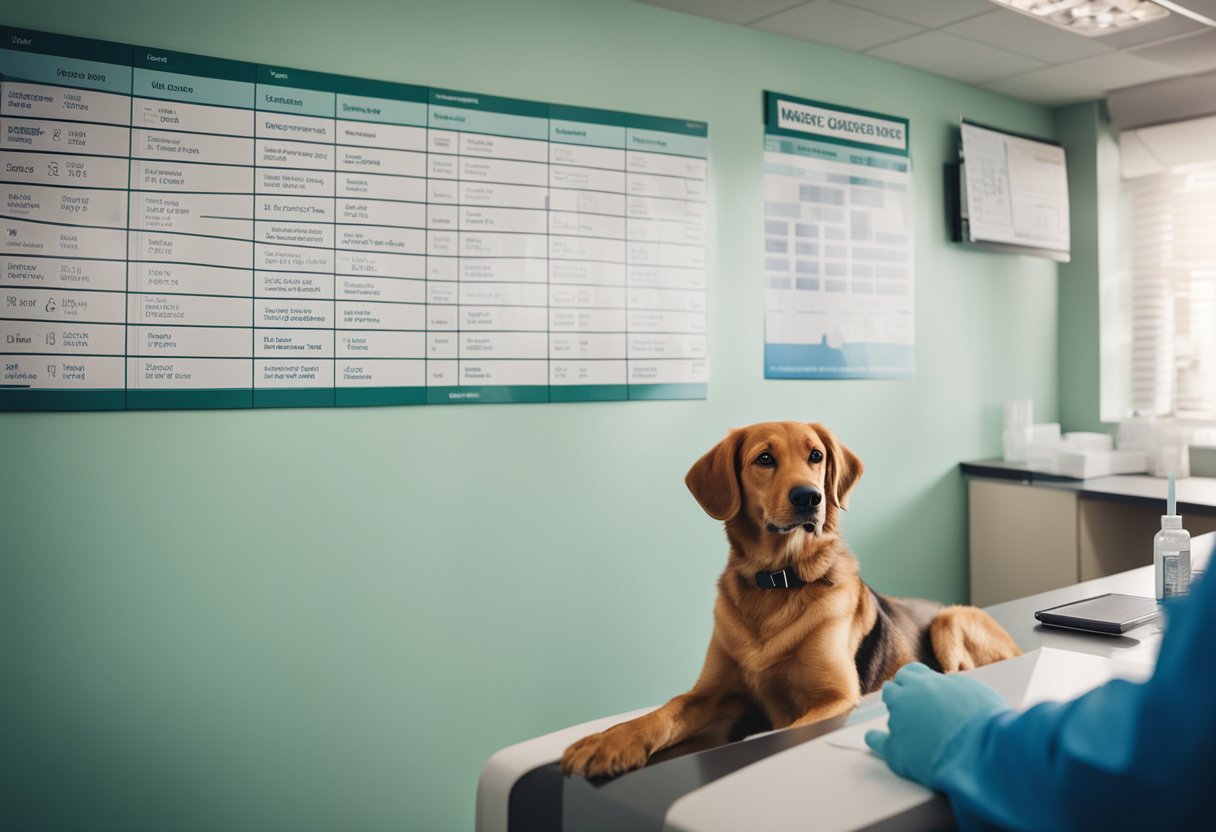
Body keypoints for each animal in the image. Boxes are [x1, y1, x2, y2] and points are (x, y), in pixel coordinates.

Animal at [564, 423, 1021, 778]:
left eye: (816, 455)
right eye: (764, 459)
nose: (809, 497)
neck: (779, 581)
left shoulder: (835, 697)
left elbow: (786, 729)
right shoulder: (710, 692)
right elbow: (663, 711)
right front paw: (608, 741)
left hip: (950, 620)